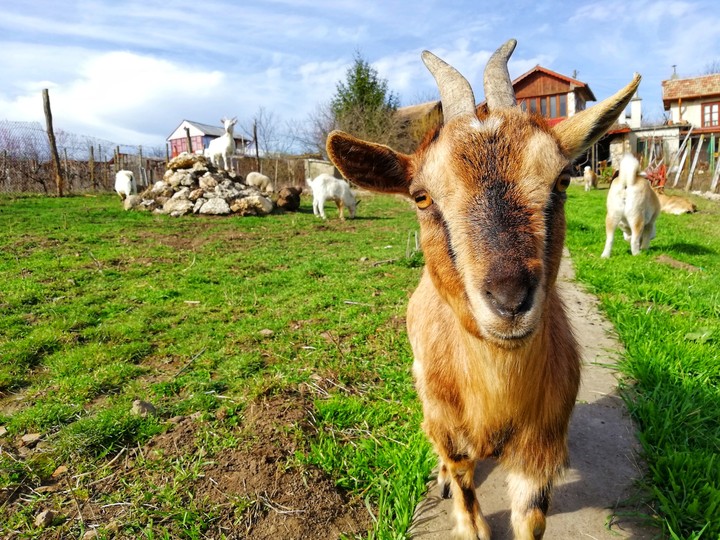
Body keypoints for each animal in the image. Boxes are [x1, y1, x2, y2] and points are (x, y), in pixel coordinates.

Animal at [327, 39, 640, 539]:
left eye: (562, 179)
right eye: (421, 196)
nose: (510, 300)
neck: (495, 403)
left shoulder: (538, 453)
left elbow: (531, 518)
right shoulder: (451, 435)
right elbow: (465, 493)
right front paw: (453, 496)